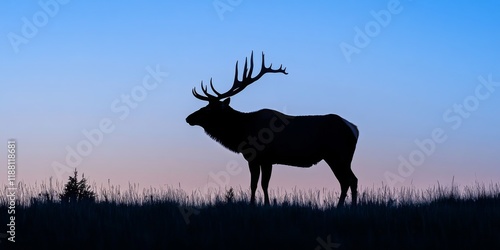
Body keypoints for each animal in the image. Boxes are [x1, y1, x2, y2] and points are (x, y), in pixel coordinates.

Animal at [186, 51, 358, 206]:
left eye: (209, 109)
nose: (189, 118)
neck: (242, 132)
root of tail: (354, 129)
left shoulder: (263, 157)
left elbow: (261, 184)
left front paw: (261, 205)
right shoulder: (259, 159)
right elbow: (256, 184)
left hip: (339, 154)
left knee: (349, 180)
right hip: (338, 157)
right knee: (349, 180)